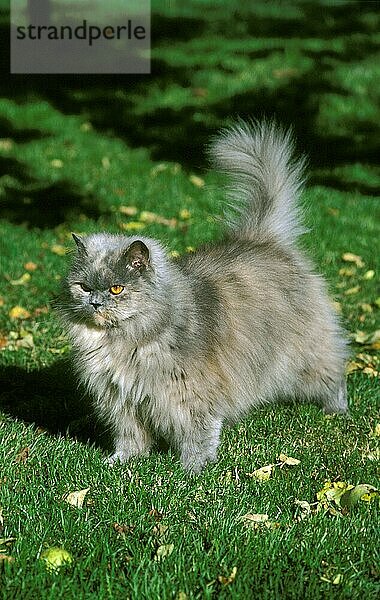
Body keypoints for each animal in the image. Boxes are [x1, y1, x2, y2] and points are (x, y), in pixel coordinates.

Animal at [58, 119, 348, 472]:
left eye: (117, 288)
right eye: (84, 287)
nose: (95, 302)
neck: (125, 341)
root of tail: (259, 237)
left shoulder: (189, 395)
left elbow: (198, 436)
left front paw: (193, 470)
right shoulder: (121, 399)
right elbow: (130, 438)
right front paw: (121, 463)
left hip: (305, 357)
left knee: (334, 375)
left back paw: (338, 412)